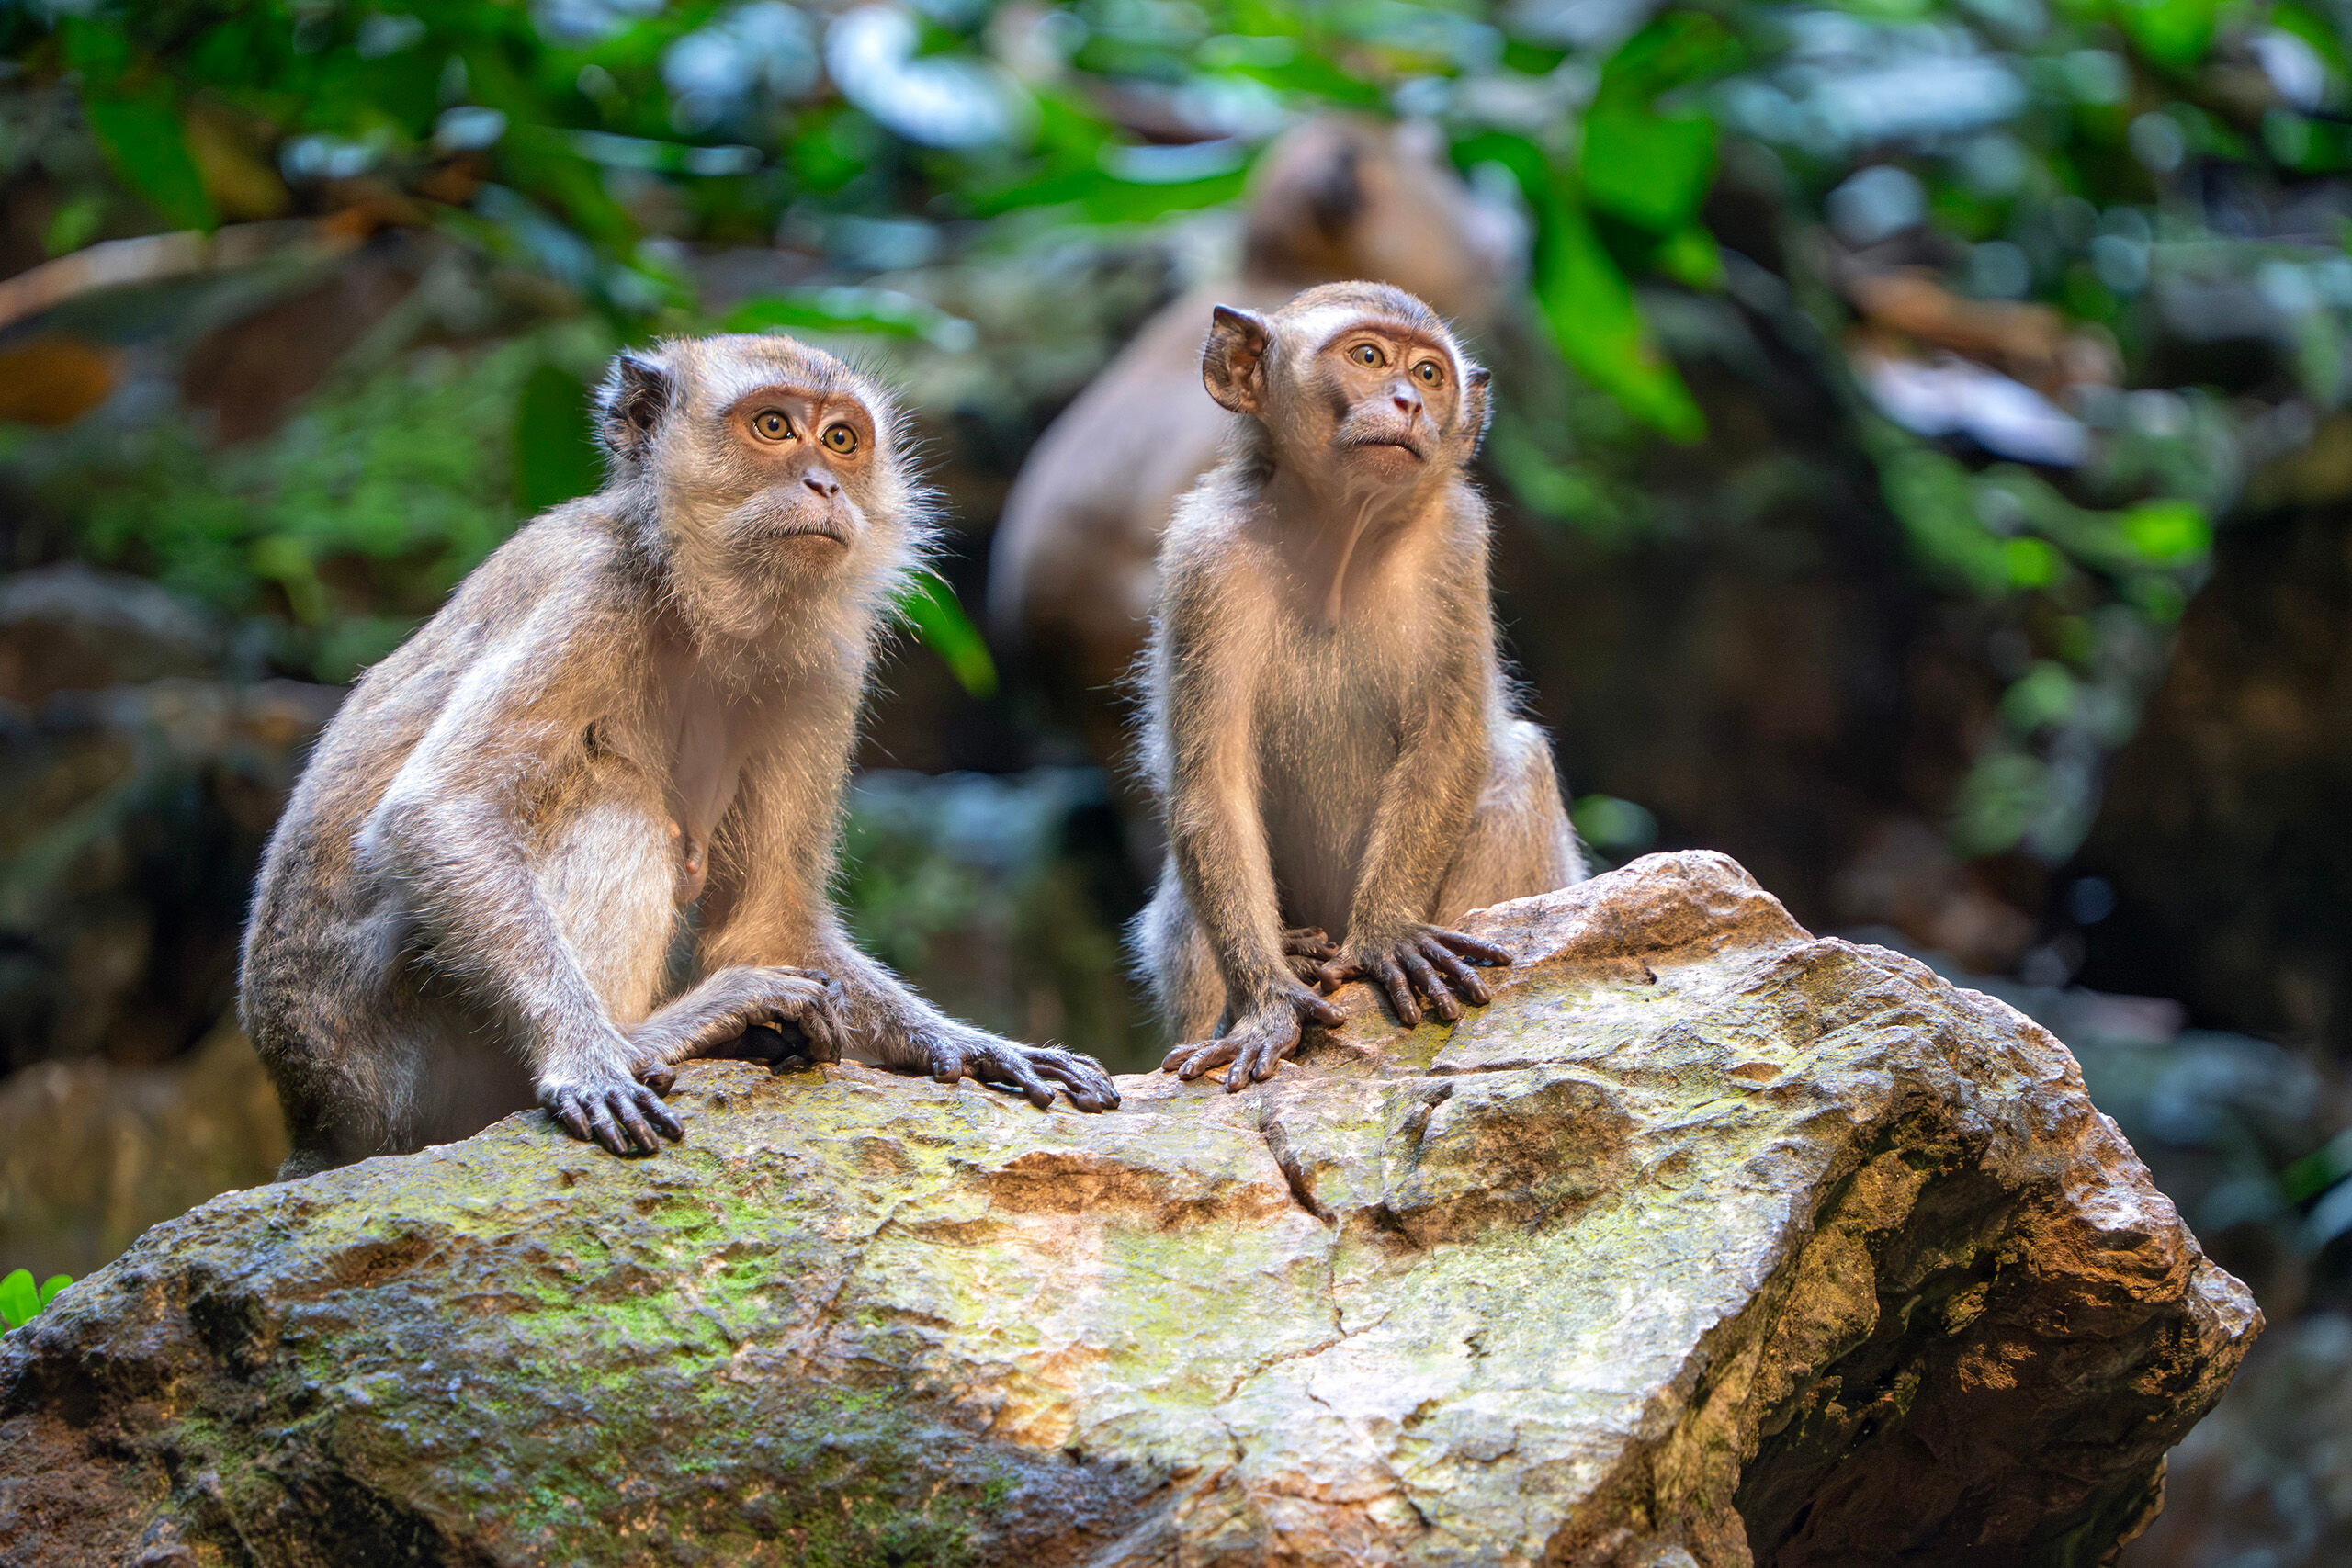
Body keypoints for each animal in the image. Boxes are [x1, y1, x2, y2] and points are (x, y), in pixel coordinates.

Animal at [239, 333, 1119, 1175]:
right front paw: (588, 1055)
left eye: (841, 439)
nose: (825, 486)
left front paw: (972, 1043)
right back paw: (650, 1038)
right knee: (612, 798)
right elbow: (441, 811)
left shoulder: (827, 664)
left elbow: (769, 919)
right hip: (410, 1051)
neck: (689, 594)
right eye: (774, 426)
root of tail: (316, 1117)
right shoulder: (591, 590)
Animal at [1131, 282, 1586, 1091]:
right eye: (1369, 357)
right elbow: (1212, 785)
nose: (1408, 401)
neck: (1339, 536)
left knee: (1521, 767)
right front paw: (1268, 1003)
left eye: (1431, 375)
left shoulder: (1456, 544)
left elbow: (1447, 743)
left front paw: (1385, 933)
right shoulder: (1204, 557)